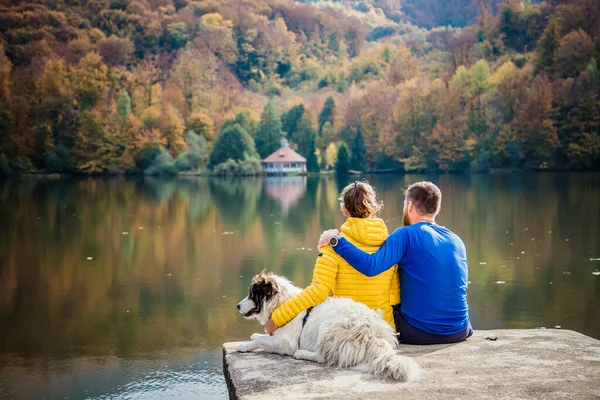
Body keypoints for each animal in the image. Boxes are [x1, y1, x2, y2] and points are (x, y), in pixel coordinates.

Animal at [237, 272, 420, 382]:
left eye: (251, 294)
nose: (238, 306)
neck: (280, 305)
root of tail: (373, 335)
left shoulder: (286, 343)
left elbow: (262, 341)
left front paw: (245, 345)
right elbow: (262, 337)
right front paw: (254, 336)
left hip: (328, 326)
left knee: (322, 357)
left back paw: (302, 354)